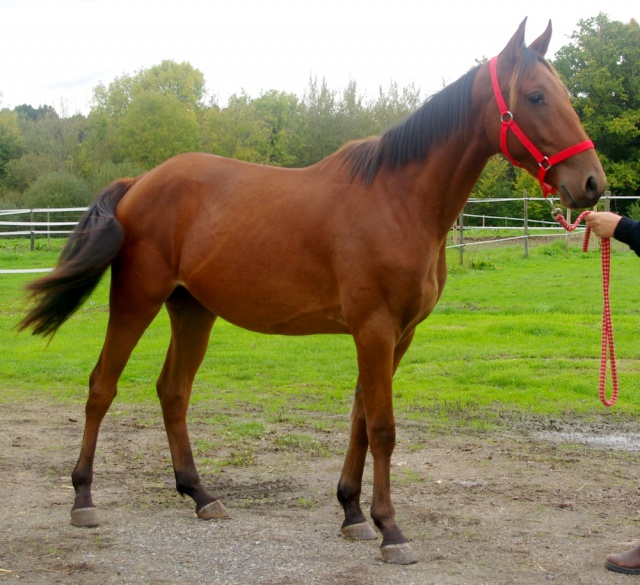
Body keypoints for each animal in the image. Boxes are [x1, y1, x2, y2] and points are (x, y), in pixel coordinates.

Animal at [18, 20, 604, 564]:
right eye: (535, 97)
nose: (592, 183)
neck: (399, 200)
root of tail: (139, 182)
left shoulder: (399, 336)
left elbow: (361, 421)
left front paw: (353, 513)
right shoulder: (375, 330)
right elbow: (383, 427)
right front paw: (392, 531)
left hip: (193, 310)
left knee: (173, 391)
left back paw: (201, 494)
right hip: (136, 300)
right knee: (102, 386)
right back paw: (83, 500)